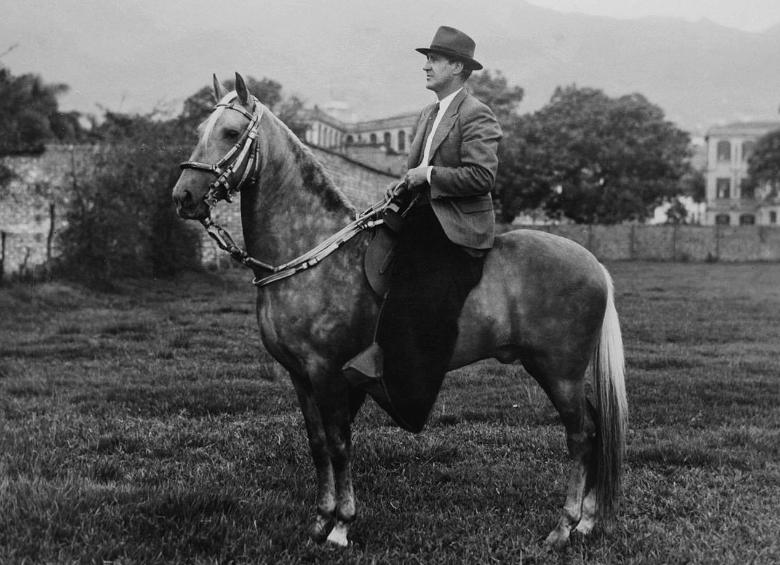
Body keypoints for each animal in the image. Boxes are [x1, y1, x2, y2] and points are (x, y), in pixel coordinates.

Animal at [172, 73, 628, 550]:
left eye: (230, 132)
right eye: (201, 129)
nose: (183, 196)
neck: (315, 251)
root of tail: (594, 264)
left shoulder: (327, 371)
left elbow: (339, 443)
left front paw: (341, 525)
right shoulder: (300, 375)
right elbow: (317, 444)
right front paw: (319, 520)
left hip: (558, 371)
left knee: (581, 435)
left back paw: (563, 526)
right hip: (563, 373)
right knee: (595, 429)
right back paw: (588, 520)